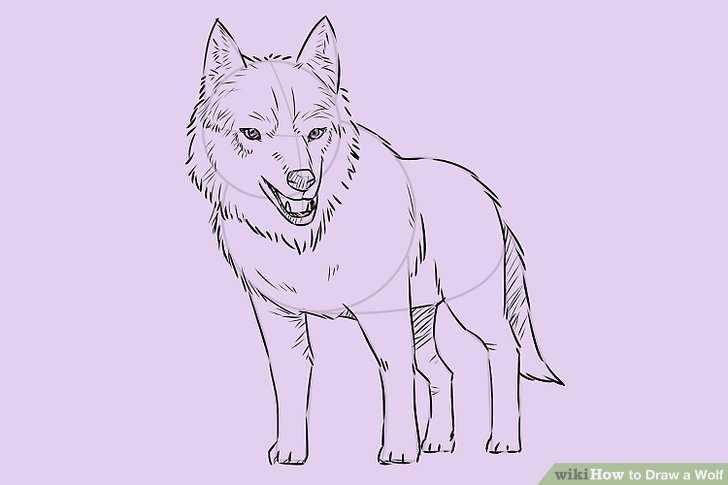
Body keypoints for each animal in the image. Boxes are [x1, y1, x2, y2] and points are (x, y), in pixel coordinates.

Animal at [186, 17, 562, 465]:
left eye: (316, 133)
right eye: (251, 133)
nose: (302, 180)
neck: (307, 239)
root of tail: (488, 196)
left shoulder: (382, 314)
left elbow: (394, 375)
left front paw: (399, 450)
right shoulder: (278, 315)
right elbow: (290, 383)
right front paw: (292, 451)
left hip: (473, 308)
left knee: (505, 351)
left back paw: (503, 440)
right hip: (422, 315)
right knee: (442, 370)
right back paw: (438, 442)